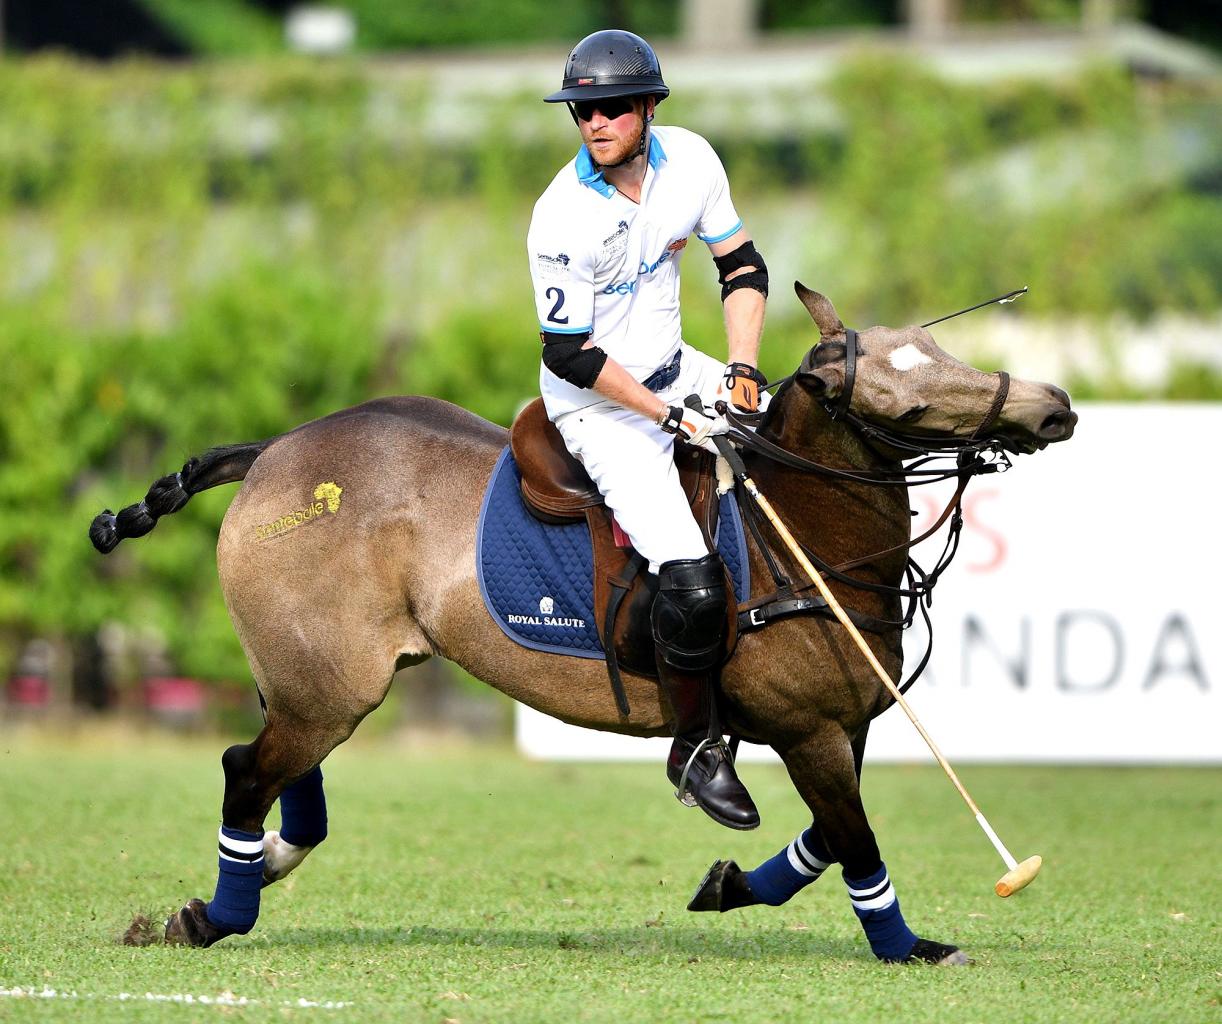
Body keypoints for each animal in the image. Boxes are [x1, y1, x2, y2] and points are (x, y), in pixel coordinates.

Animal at [90, 287, 1075, 962]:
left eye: (940, 347)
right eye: (907, 405)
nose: (1054, 406)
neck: (799, 534)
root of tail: (272, 452)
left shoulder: (847, 722)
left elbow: (830, 840)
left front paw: (725, 889)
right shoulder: (809, 729)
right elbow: (857, 841)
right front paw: (909, 947)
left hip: (311, 678)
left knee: (281, 775)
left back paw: (264, 865)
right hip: (329, 682)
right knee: (244, 770)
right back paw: (213, 914)